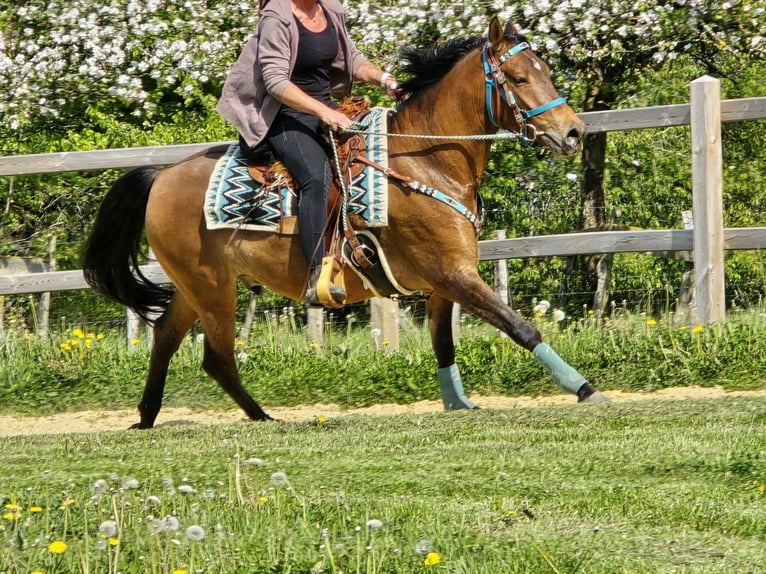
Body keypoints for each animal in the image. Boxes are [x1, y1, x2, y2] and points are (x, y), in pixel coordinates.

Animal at [82, 16, 608, 429]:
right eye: (518, 77)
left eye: (546, 72)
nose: (573, 132)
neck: (425, 162)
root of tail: (161, 175)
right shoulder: (452, 273)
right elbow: (522, 328)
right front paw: (584, 388)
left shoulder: (444, 283)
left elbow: (444, 345)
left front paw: (458, 403)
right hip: (210, 287)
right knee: (216, 356)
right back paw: (254, 416)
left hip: (196, 287)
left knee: (168, 337)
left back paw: (153, 417)